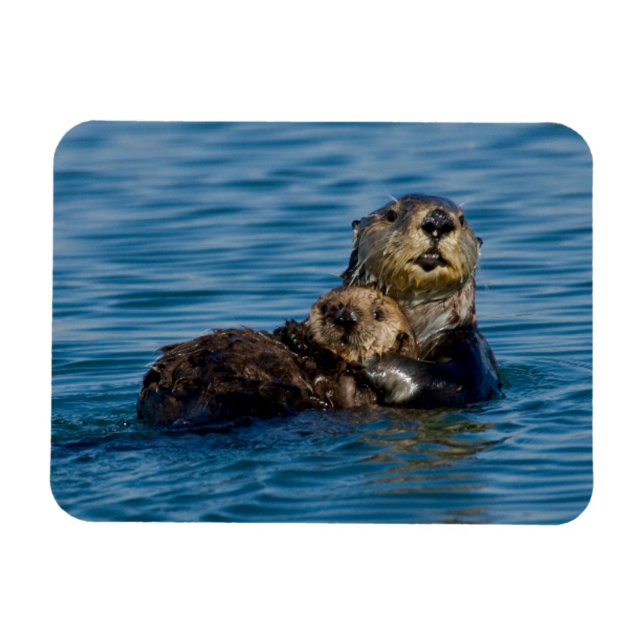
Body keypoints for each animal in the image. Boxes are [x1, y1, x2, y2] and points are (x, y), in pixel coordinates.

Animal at [342, 194, 500, 408]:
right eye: (391, 215)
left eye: (462, 219)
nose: (438, 221)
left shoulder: (472, 349)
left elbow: (448, 381)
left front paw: (368, 358)